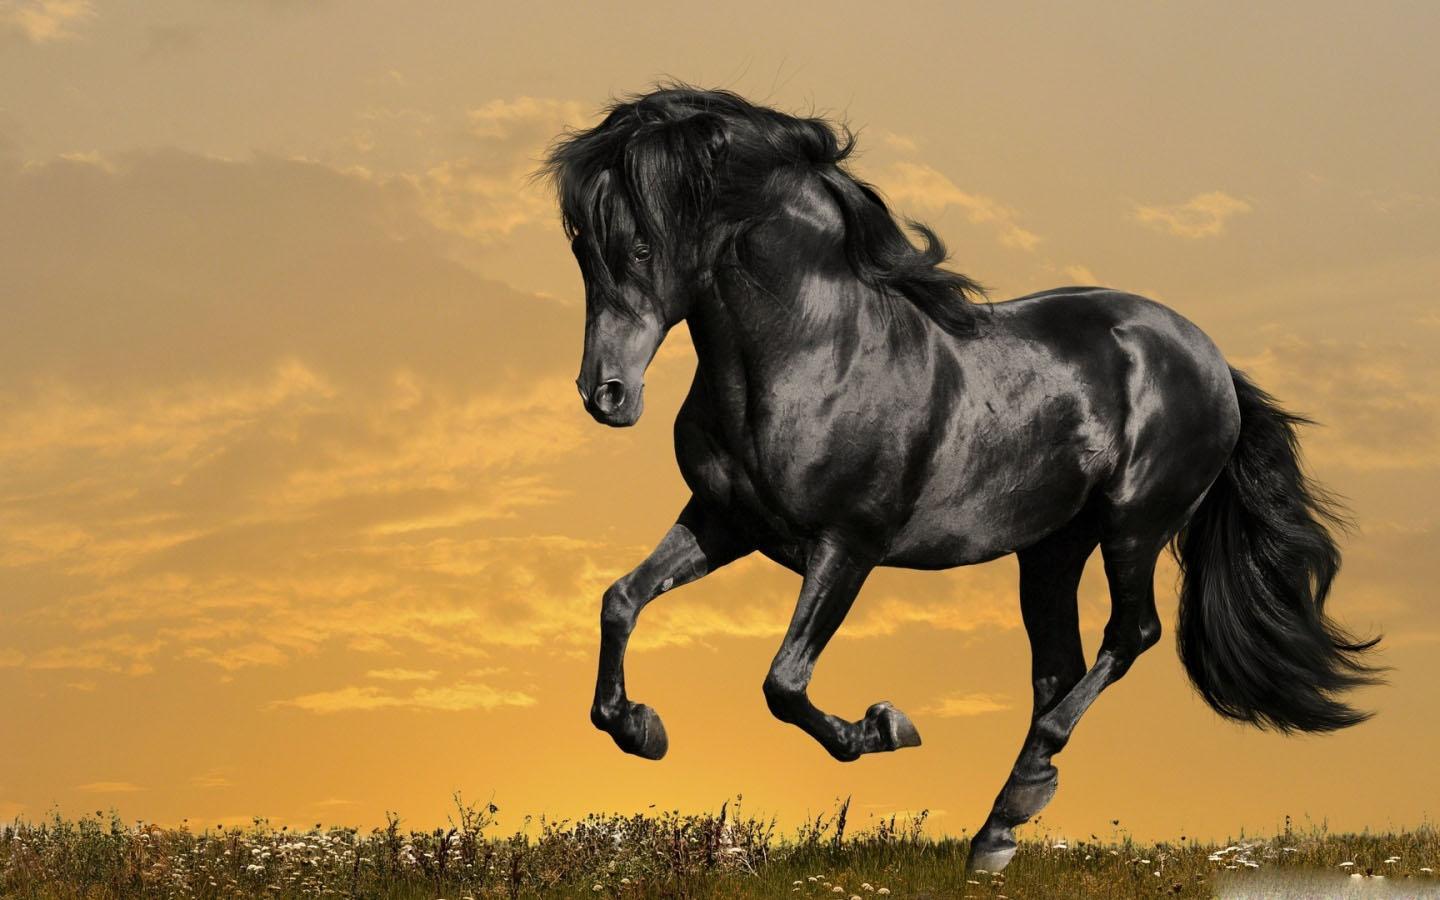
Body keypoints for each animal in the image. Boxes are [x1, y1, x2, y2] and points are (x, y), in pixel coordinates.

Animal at [542, 86, 1380, 872]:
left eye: (642, 247)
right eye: (581, 247)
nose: (605, 394)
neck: (814, 353)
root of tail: (1209, 360)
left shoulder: (848, 546)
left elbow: (784, 682)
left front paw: (884, 727)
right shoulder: (726, 522)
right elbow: (621, 600)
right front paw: (640, 729)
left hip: (1133, 528)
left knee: (1129, 635)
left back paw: (1020, 795)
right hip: (1051, 550)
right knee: (1058, 668)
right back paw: (998, 831)